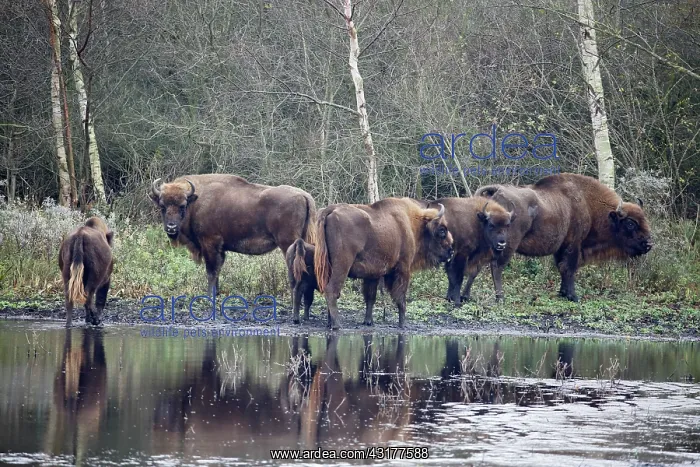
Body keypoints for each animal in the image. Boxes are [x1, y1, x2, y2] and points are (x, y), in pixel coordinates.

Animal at [150, 174, 317, 295]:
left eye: (182, 206)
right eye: (162, 206)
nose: (171, 227)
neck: (196, 201)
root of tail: (303, 195)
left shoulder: (209, 243)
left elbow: (211, 270)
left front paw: (209, 294)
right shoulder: (220, 248)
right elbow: (217, 270)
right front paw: (216, 293)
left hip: (288, 244)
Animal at [314, 197, 454, 329]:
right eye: (442, 230)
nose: (451, 251)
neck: (412, 224)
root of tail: (330, 210)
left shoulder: (372, 275)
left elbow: (371, 297)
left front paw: (368, 322)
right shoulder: (403, 268)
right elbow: (401, 298)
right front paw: (402, 324)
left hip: (328, 267)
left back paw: (330, 323)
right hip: (342, 266)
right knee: (332, 290)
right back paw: (337, 325)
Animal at [475, 173, 653, 302]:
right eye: (630, 223)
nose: (648, 244)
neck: (588, 205)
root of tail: (497, 191)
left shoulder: (561, 248)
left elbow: (562, 268)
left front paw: (563, 293)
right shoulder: (574, 245)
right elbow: (569, 269)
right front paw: (573, 296)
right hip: (507, 245)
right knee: (497, 266)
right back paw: (500, 297)